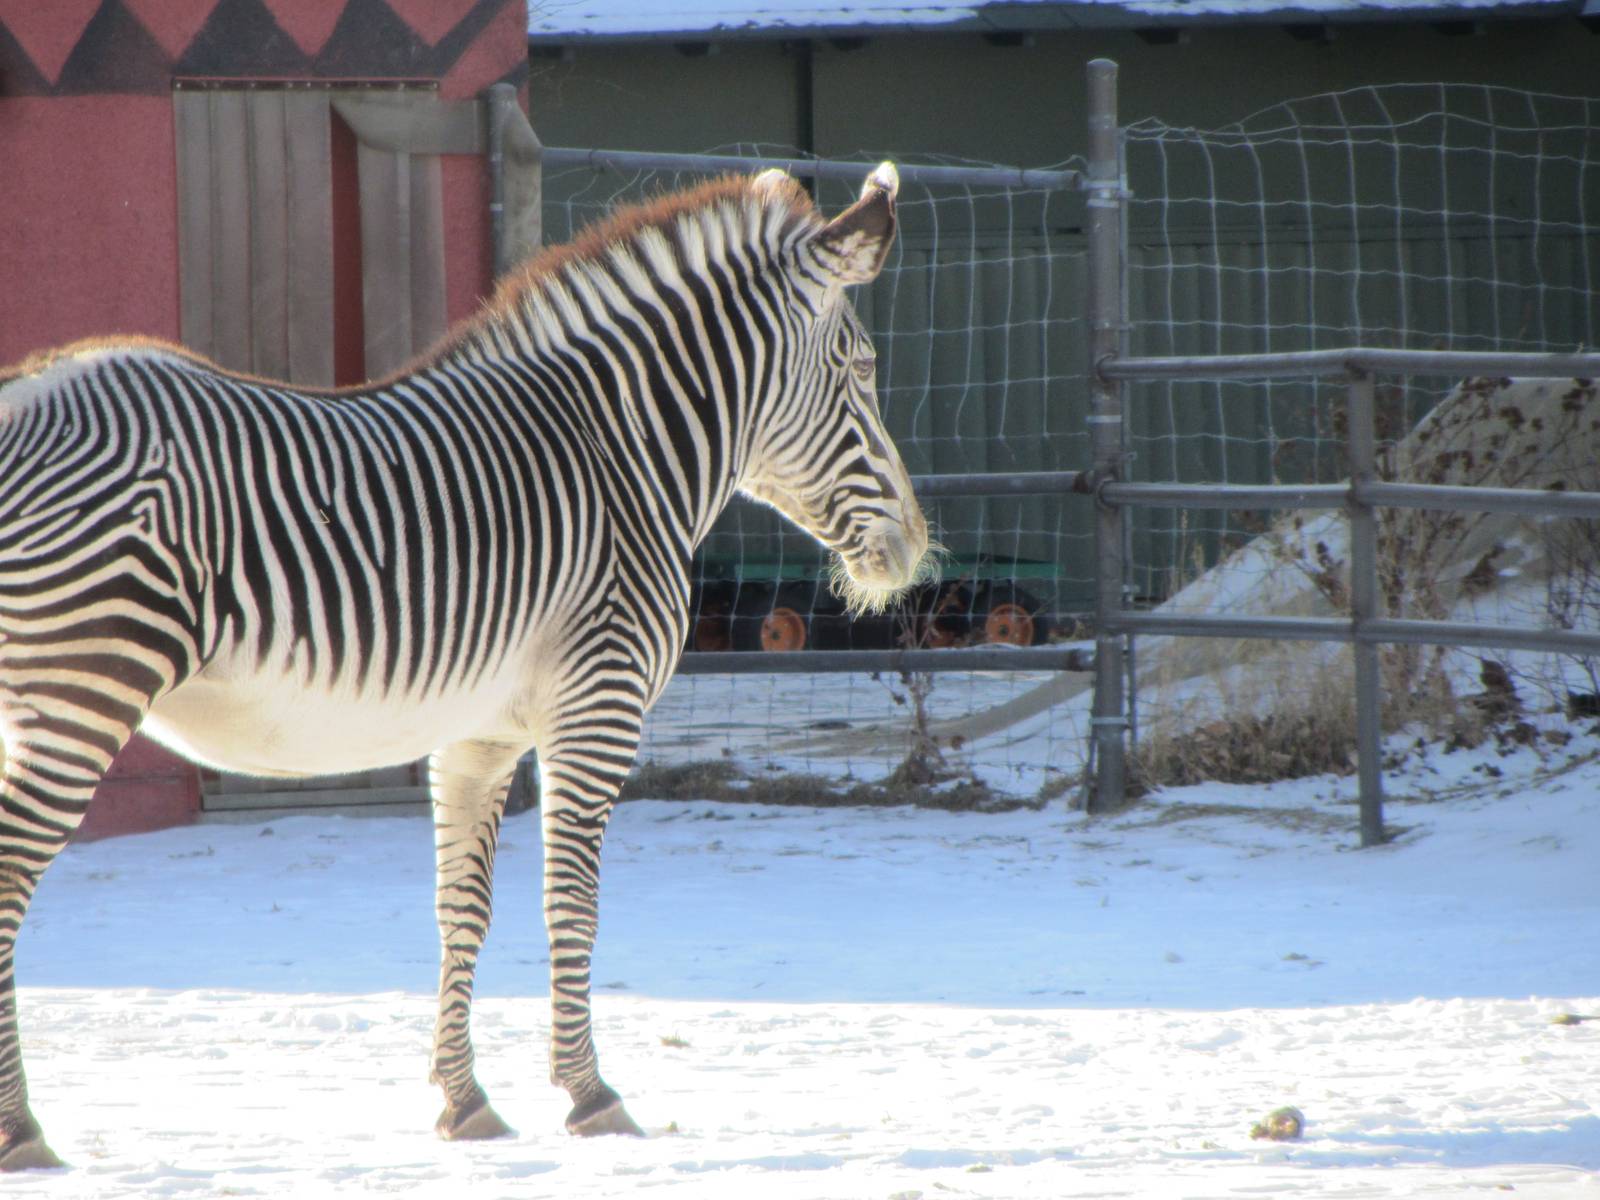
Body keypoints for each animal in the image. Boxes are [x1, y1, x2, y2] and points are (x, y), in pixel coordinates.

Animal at [0, 163, 928, 1169]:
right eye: (861, 368)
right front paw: (590, 1096)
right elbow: (572, 903)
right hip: (86, 679)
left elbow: (462, 909)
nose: (915, 547)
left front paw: (464, 1102)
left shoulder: (476, 736)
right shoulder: (597, 710)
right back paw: (23, 1132)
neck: (620, 457)